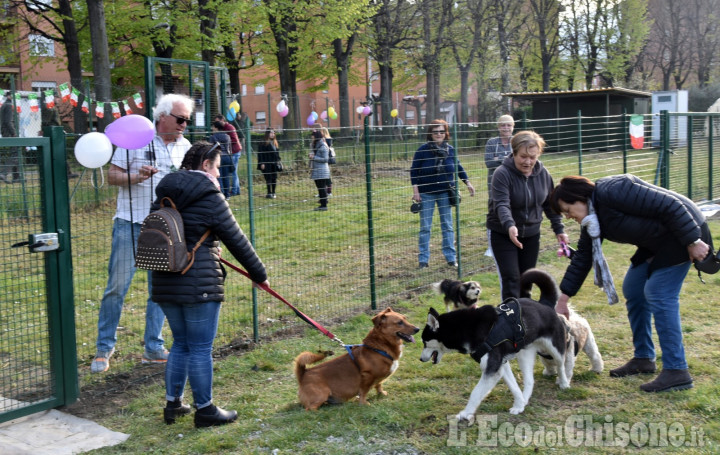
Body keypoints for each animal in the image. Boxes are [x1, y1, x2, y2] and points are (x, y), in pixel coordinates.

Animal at [292, 308, 420, 412]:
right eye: (399, 322)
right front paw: (363, 403)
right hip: (322, 394)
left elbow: (379, 384)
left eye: (405, 318)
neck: (379, 347)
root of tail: (303, 374)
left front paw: (381, 394)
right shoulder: (367, 377)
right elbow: (364, 392)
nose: (418, 329)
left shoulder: (377, 379)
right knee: (309, 409)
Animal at [422, 268, 568, 422]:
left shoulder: (492, 369)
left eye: (424, 342)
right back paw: (525, 399)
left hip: (556, 349)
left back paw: (564, 383)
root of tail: (544, 303)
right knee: (529, 380)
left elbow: (476, 393)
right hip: (524, 355)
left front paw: (466, 413)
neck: (467, 328)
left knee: (561, 365)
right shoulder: (501, 365)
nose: (420, 359)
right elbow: (514, 387)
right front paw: (519, 404)